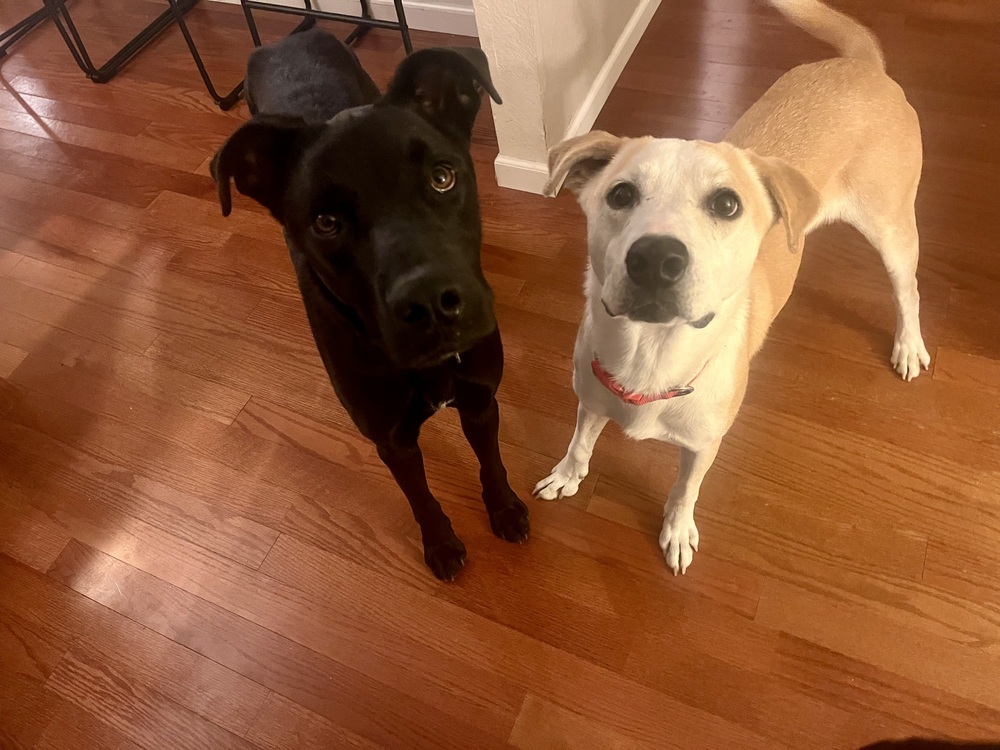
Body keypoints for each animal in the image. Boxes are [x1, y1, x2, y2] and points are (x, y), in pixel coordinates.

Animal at [212, 27, 532, 580]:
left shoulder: (480, 400)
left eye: (442, 177)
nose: (430, 303)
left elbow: (491, 461)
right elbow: (420, 498)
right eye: (326, 222)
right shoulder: (391, 440)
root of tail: (288, 36)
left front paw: (505, 508)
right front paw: (441, 544)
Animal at [532, 0, 928, 576]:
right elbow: (581, 442)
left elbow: (683, 491)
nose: (656, 259)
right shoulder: (590, 399)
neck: (651, 357)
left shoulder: (703, 446)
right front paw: (567, 475)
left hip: (891, 228)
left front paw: (677, 532)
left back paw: (909, 345)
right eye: (620, 194)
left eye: (726, 204)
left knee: (908, 291)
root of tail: (861, 65)